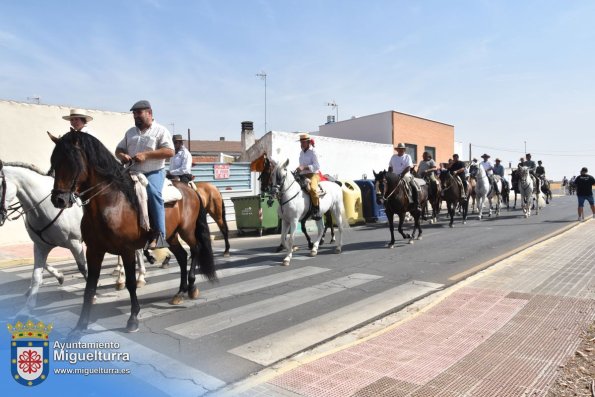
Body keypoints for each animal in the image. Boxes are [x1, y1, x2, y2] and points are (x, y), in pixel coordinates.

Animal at [49, 131, 217, 332]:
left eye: (72, 162)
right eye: (54, 162)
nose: (58, 199)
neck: (111, 203)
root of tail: (191, 190)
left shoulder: (127, 250)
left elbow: (130, 283)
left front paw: (133, 318)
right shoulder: (94, 251)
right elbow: (90, 287)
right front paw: (80, 325)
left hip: (187, 231)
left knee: (196, 249)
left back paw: (191, 288)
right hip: (171, 235)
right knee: (182, 256)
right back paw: (179, 292)